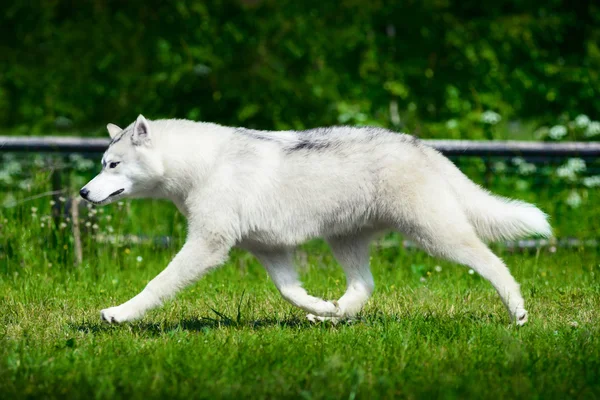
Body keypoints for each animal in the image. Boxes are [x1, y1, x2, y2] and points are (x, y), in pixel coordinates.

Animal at [81, 115, 552, 324]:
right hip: (346, 241)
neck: (200, 166)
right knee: (364, 287)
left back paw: (517, 310)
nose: (84, 193)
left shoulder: (207, 245)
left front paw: (120, 313)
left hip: (436, 235)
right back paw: (334, 315)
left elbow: (156, 284)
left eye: (113, 165)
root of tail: (422, 147)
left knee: (492, 262)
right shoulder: (268, 250)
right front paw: (320, 308)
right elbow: (291, 293)